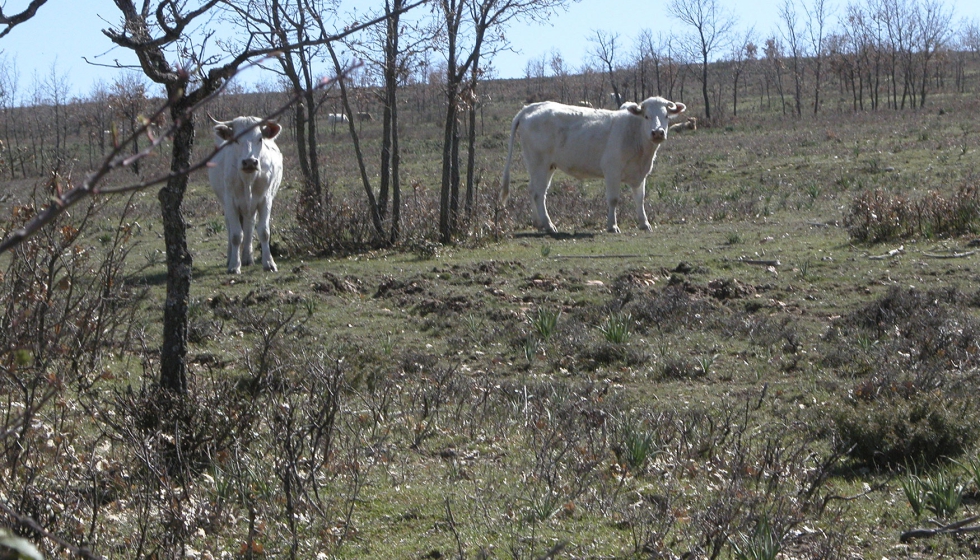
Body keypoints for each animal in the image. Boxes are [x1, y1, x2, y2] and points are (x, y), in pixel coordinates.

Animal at [207, 115, 284, 274]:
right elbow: (236, 235)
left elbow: (264, 232)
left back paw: (248, 258)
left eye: (260, 138)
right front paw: (234, 265)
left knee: (249, 225)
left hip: (251, 207)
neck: (248, 179)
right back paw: (231, 257)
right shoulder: (230, 202)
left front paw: (269, 263)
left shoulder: (265, 200)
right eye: (236, 139)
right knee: (231, 228)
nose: (249, 162)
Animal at [500, 97, 687, 234]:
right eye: (647, 116)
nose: (657, 132)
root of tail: (531, 107)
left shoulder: (640, 174)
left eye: (666, 116)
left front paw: (644, 223)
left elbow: (640, 199)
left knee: (533, 190)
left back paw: (538, 223)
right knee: (539, 193)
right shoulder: (612, 170)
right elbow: (613, 199)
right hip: (539, 163)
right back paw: (549, 225)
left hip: (545, 166)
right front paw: (612, 226)